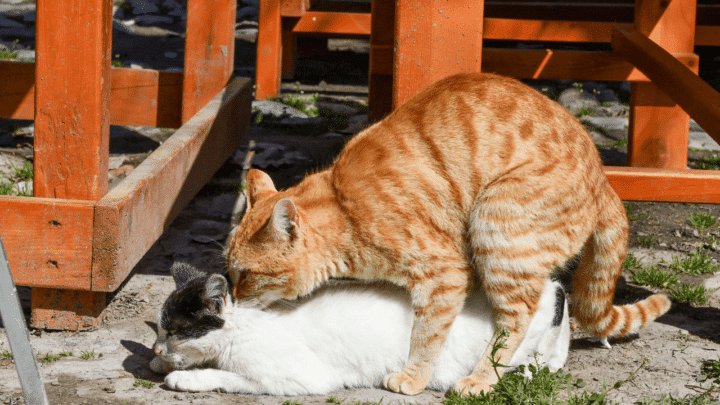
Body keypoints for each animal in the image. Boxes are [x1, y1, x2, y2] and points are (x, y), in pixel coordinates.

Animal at [150, 262, 568, 394]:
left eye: (176, 330)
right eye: (160, 330)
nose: (157, 347)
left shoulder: (297, 378)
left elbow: (226, 375)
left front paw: (183, 376)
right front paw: (161, 362)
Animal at [225, 72, 668, 394]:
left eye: (246, 275)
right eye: (230, 273)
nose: (232, 300)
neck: (342, 205)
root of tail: (604, 178)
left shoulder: (445, 273)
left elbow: (425, 335)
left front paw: (413, 378)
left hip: (496, 224)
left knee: (518, 319)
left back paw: (479, 380)